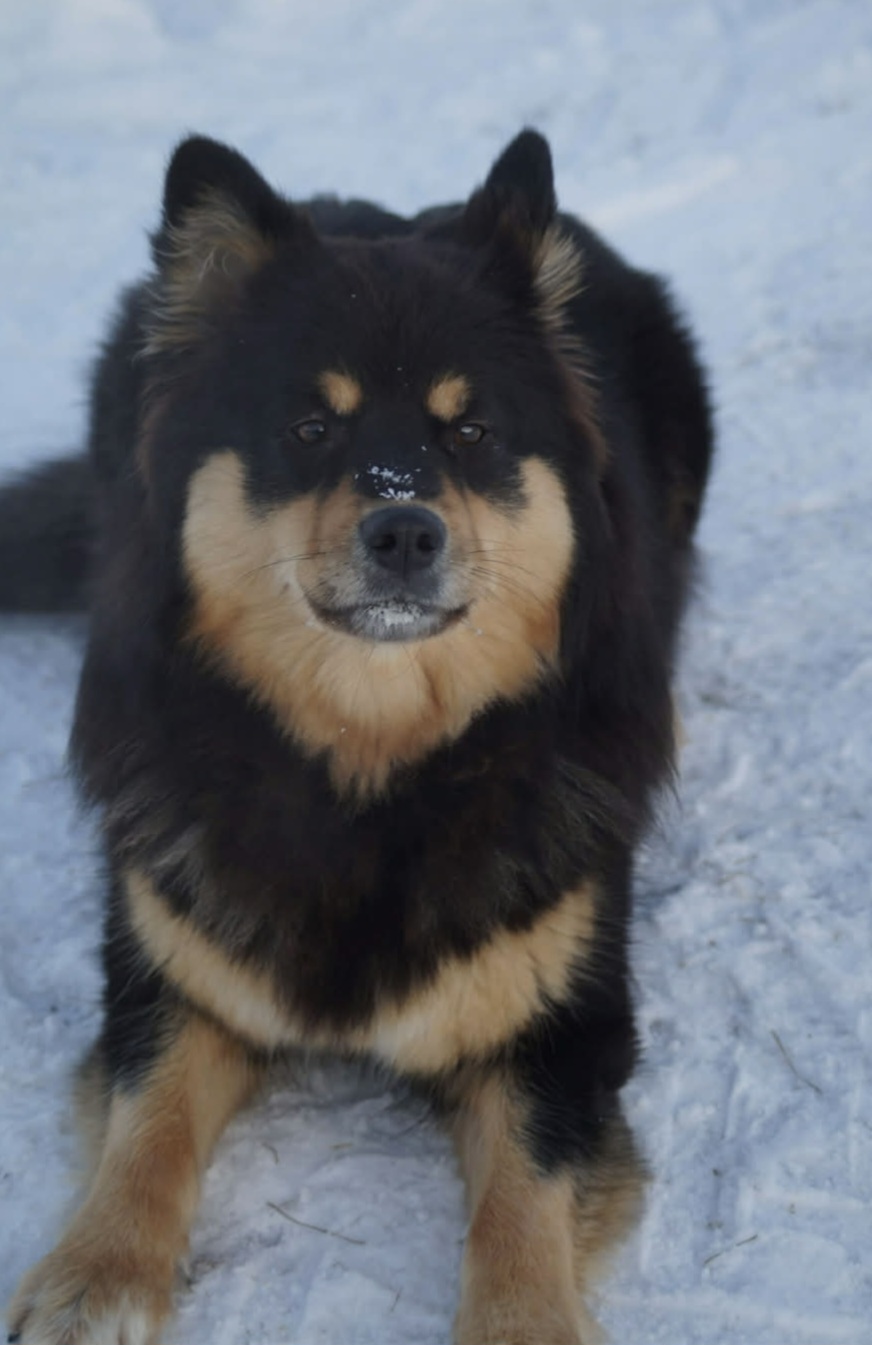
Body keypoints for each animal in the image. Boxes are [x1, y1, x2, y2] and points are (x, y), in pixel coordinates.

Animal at [2, 129, 713, 1345]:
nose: (404, 529)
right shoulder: (166, 978)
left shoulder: (566, 1026)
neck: (370, 771)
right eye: (310, 428)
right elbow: (147, 1123)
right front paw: (96, 1274)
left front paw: (522, 1323)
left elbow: (521, 1199)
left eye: (469, 431)